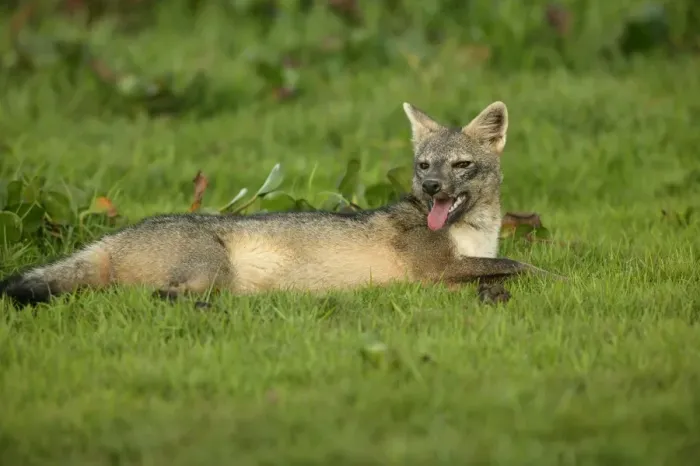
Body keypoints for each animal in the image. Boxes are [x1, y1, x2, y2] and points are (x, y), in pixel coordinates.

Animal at [0, 101, 557, 307]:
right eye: (424, 167)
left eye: (459, 166)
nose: (434, 190)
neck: (473, 232)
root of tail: (113, 235)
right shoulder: (435, 272)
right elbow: (521, 265)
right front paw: (566, 278)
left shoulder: (460, 265)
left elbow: (507, 264)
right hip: (212, 271)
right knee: (160, 297)